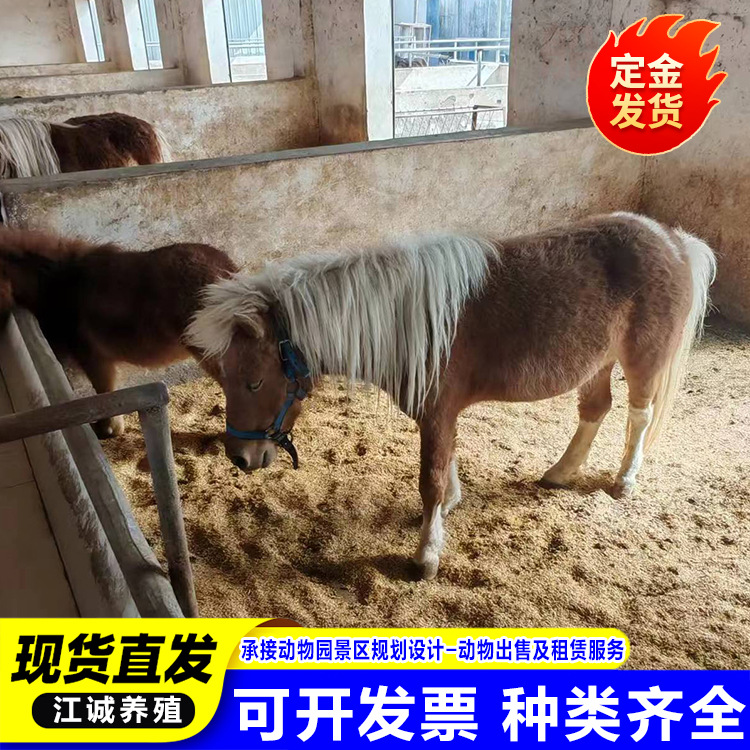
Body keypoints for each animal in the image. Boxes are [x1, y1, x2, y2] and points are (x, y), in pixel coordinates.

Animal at [186, 212, 716, 580]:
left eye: (254, 381)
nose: (241, 458)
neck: (401, 318)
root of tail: (673, 240)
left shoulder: (438, 411)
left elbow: (432, 480)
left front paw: (426, 556)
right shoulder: (440, 415)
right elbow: (447, 466)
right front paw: (449, 510)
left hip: (642, 360)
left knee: (638, 415)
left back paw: (624, 480)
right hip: (597, 363)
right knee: (595, 409)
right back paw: (560, 473)